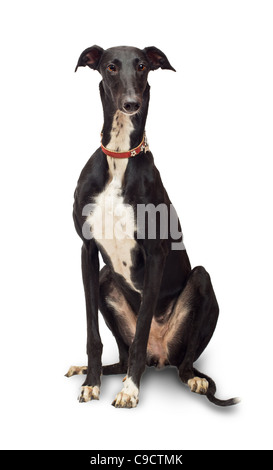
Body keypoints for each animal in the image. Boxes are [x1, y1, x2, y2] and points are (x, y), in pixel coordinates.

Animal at [65, 45, 238, 408]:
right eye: (111, 66)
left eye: (143, 66)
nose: (131, 103)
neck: (119, 156)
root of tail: (161, 356)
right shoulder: (87, 250)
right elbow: (92, 334)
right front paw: (91, 383)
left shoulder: (155, 254)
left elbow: (143, 328)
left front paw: (131, 390)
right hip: (105, 279)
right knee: (123, 354)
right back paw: (93, 370)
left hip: (200, 282)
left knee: (181, 362)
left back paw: (193, 379)